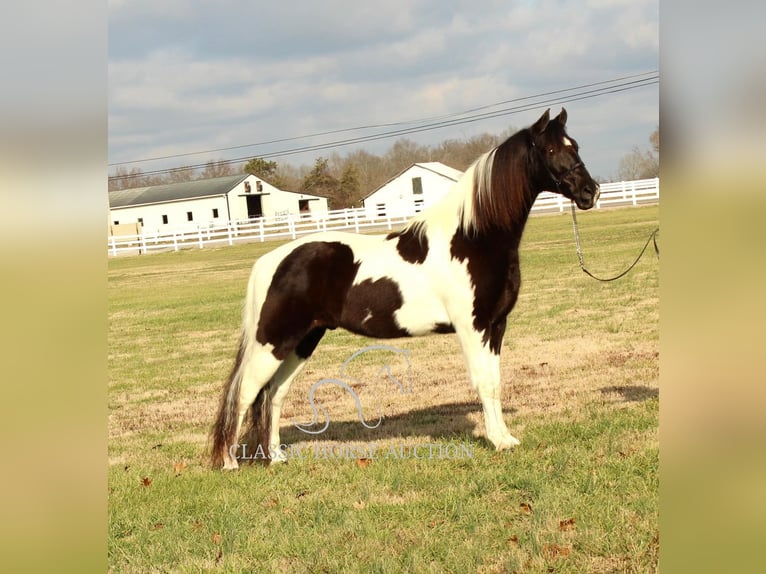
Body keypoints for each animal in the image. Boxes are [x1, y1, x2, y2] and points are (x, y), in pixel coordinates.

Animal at [210, 110, 600, 470]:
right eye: (551, 149)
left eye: (576, 145)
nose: (590, 192)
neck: (472, 239)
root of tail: (270, 261)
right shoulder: (472, 327)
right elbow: (483, 383)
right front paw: (497, 441)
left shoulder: (495, 326)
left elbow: (495, 381)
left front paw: (505, 437)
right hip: (273, 342)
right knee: (244, 394)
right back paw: (229, 462)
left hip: (302, 341)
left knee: (273, 395)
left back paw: (276, 457)